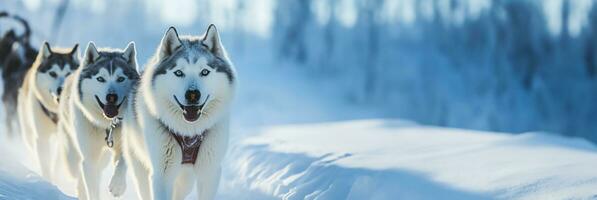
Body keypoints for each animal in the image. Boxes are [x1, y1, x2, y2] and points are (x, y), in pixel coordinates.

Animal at [16, 41, 78, 179]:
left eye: (68, 74)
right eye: (53, 73)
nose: (61, 89)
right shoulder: (42, 137)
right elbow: (45, 162)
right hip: (28, 131)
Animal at [55, 41, 139, 199]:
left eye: (121, 78)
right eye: (100, 78)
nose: (111, 96)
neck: (108, 125)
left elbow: (123, 160)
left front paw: (118, 184)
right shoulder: (89, 159)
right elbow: (92, 187)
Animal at [122, 25, 236, 200]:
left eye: (204, 72)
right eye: (178, 73)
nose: (193, 94)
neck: (189, 131)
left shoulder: (210, 173)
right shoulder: (162, 176)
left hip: (185, 179)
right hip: (140, 165)